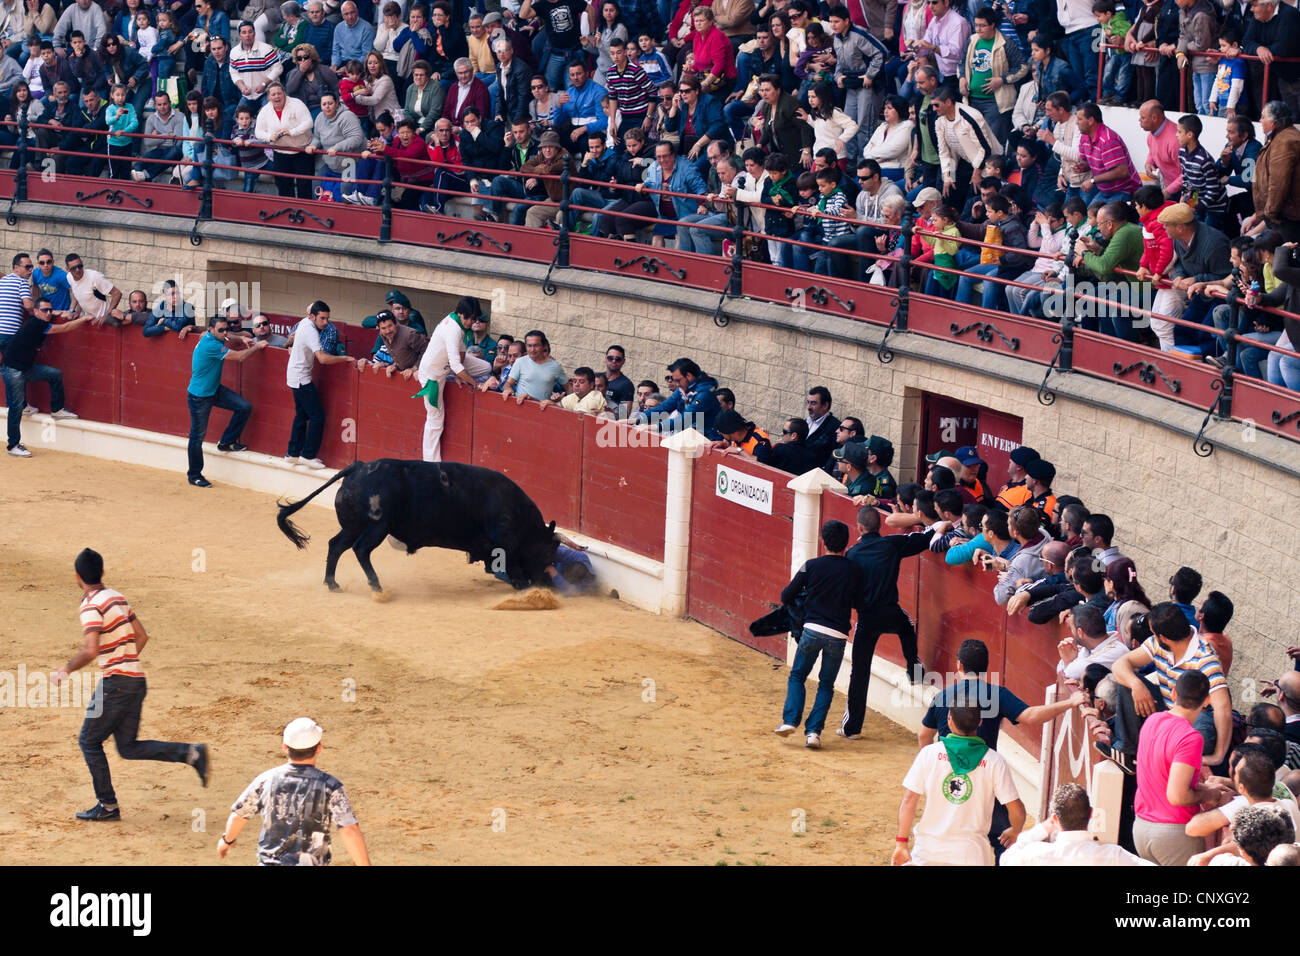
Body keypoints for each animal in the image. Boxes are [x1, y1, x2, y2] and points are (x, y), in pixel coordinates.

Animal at [276, 459, 560, 593]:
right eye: (548, 552)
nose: (546, 583)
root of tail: (357, 468)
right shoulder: (505, 544)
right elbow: (512, 566)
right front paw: (523, 587)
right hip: (377, 527)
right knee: (360, 550)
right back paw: (376, 585)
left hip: (354, 526)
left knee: (336, 545)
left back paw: (332, 583)